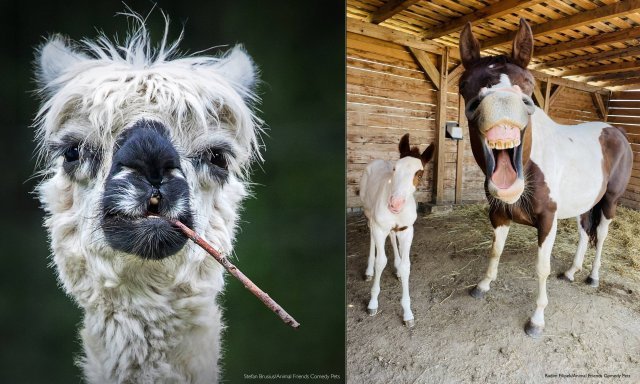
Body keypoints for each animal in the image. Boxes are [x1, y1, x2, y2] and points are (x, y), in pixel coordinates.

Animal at [360, 134, 436, 326]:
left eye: (419, 173)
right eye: (395, 168)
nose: (395, 204)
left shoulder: (407, 230)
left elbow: (406, 266)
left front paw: (408, 313)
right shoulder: (379, 227)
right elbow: (381, 261)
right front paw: (373, 303)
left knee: (392, 236)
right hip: (368, 213)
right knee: (371, 235)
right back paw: (369, 271)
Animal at [458, 18, 632, 336]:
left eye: (529, 82)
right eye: (464, 84)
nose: (501, 104)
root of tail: (616, 131)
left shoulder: (547, 221)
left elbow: (542, 268)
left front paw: (536, 320)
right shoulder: (498, 214)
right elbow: (494, 251)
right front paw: (483, 285)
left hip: (610, 201)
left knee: (600, 236)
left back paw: (593, 277)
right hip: (584, 203)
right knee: (583, 232)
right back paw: (572, 271)